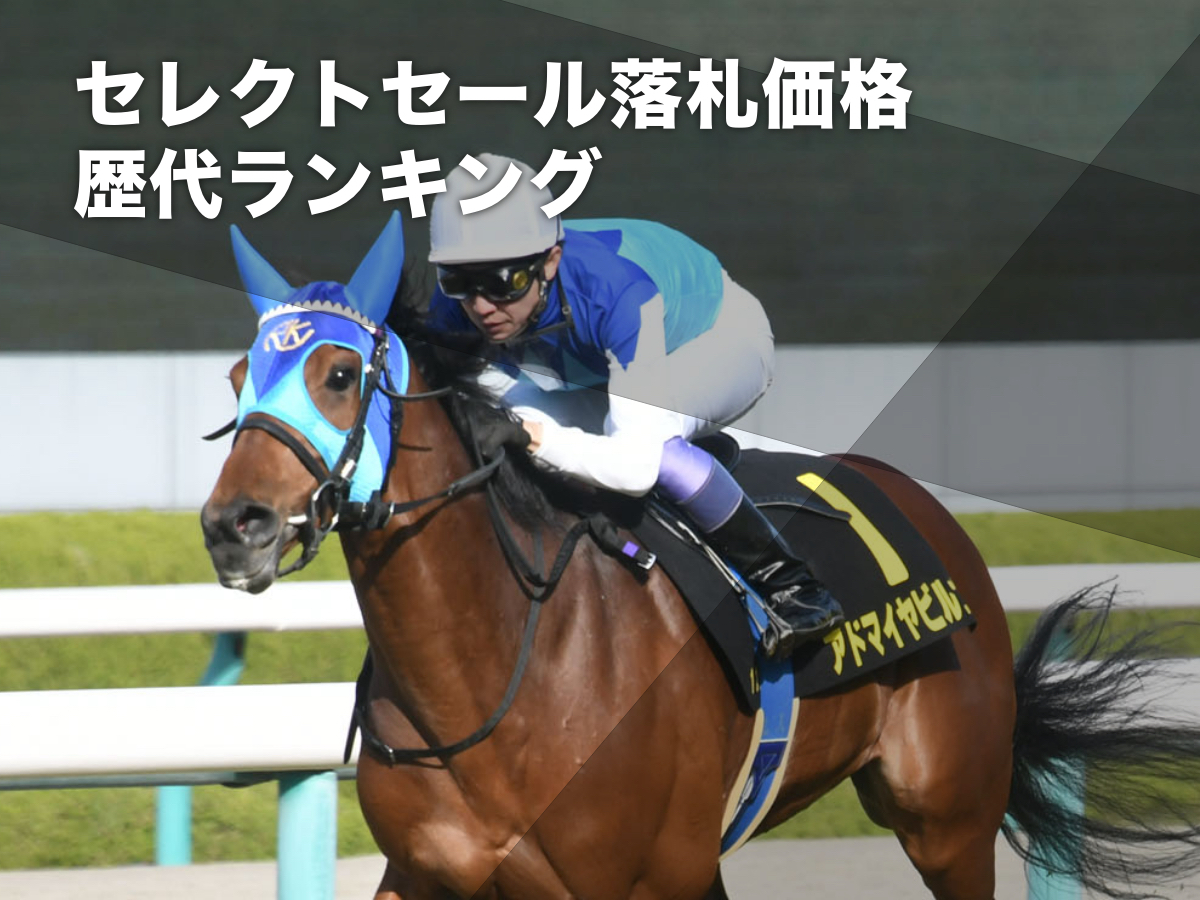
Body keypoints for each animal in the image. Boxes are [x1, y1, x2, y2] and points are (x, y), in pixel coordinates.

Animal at [202, 216, 1200, 900]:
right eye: (237, 379)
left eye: (339, 375)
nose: (232, 524)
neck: (493, 678)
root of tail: (923, 506)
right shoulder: (428, 871)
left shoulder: (646, 880)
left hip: (946, 814)